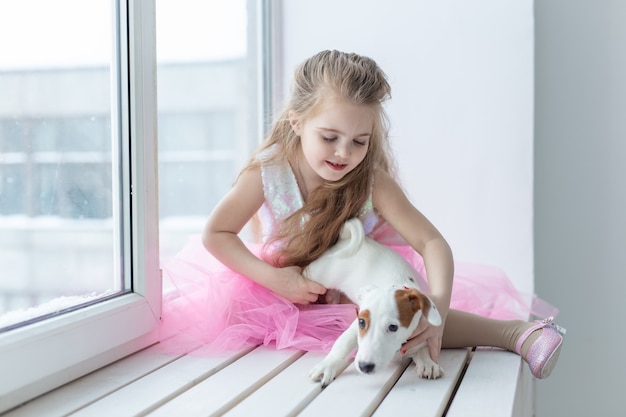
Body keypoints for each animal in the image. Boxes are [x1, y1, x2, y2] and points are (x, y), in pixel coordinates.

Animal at [304, 218, 442, 386]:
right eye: (362, 322)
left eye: (393, 327)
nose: (365, 366)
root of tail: (346, 239)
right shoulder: (354, 328)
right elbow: (342, 343)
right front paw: (327, 364)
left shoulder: (420, 333)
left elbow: (423, 349)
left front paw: (428, 363)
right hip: (318, 275)